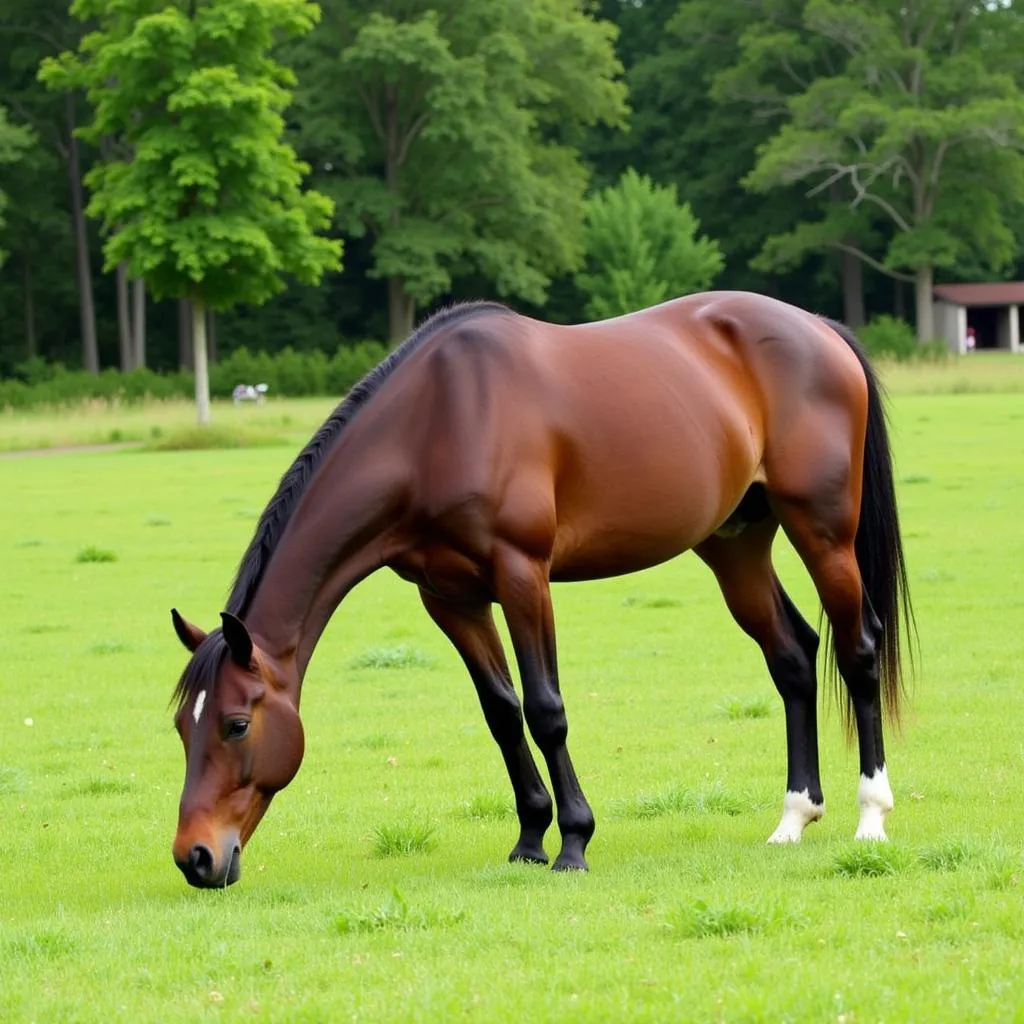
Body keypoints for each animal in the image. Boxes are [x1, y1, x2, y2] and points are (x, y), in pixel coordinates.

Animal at [167, 290, 913, 888]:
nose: (195, 858)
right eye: (182, 726)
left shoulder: (523, 574)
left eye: (236, 724)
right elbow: (501, 712)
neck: (436, 423)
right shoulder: (451, 599)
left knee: (857, 650)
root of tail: (816, 327)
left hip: (822, 532)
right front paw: (529, 839)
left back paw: (870, 816)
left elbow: (545, 709)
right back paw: (793, 817)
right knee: (792, 656)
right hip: (736, 546)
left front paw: (574, 842)